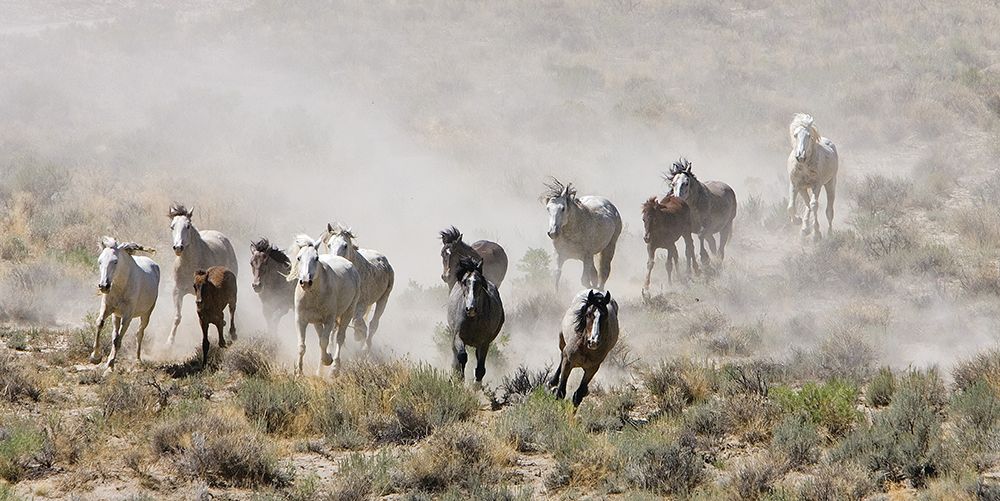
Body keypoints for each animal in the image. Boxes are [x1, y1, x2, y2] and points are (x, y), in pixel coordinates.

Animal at [91, 237, 160, 373]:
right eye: (100, 261)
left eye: (115, 261)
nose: (104, 286)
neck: (120, 286)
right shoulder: (107, 308)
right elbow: (100, 323)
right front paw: (95, 357)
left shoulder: (127, 316)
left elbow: (118, 340)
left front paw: (110, 366)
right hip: (116, 316)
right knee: (115, 334)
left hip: (146, 313)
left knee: (139, 333)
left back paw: (138, 360)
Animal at [167, 203, 239, 345]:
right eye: (172, 226)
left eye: (188, 226)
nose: (178, 247)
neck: (190, 265)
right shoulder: (177, 291)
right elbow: (177, 317)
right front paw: (169, 342)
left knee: (231, 308)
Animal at [286, 235, 361, 375]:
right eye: (299, 258)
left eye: (316, 258)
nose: (306, 282)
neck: (312, 294)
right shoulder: (300, 319)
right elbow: (302, 346)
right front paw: (299, 372)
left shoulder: (329, 320)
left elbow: (324, 342)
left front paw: (328, 360)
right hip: (316, 321)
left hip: (348, 312)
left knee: (339, 338)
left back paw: (334, 369)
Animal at [319, 223, 394, 351]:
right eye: (329, 244)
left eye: (345, 245)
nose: (334, 262)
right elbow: (335, 327)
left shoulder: (361, 305)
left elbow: (358, 323)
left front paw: (359, 338)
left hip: (383, 299)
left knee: (373, 324)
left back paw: (366, 347)